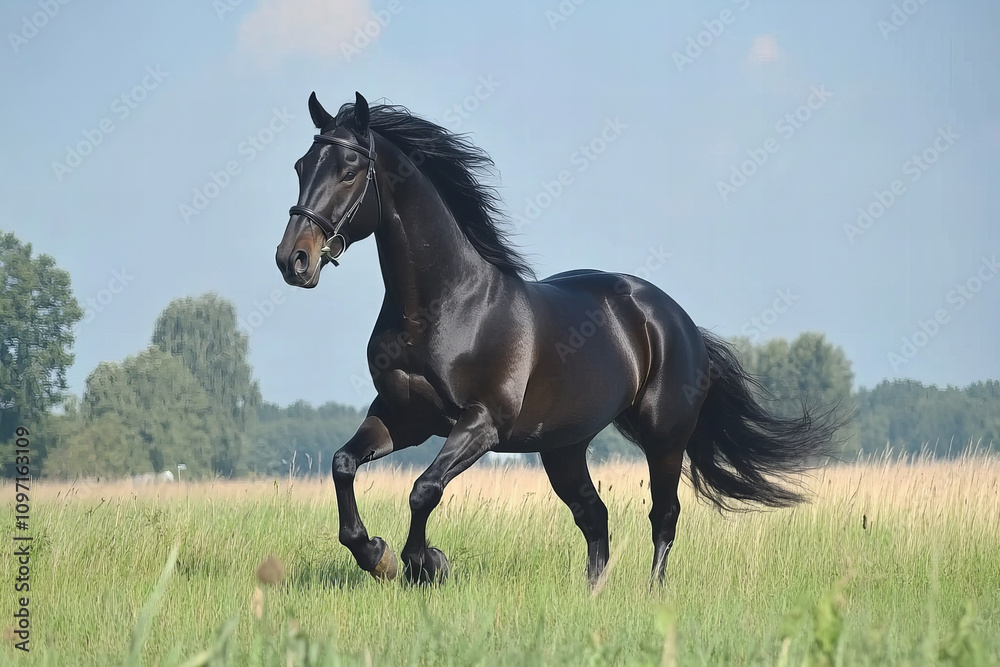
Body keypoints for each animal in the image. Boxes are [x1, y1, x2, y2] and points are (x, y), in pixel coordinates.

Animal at [275, 92, 841, 586]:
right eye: (301, 166)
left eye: (349, 171)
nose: (293, 259)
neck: (443, 307)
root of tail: (677, 320)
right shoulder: (403, 418)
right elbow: (343, 464)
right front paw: (375, 554)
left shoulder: (481, 423)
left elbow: (423, 490)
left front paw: (424, 563)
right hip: (564, 448)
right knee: (595, 517)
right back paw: (594, 595)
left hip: (664, 439)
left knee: (664, 515)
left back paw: (653, 594)